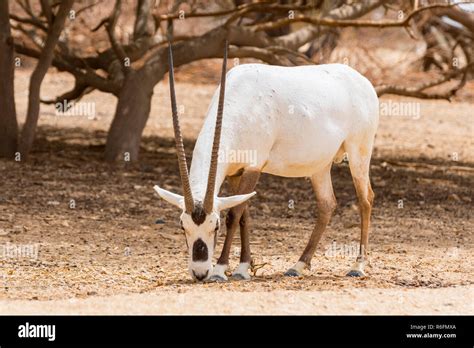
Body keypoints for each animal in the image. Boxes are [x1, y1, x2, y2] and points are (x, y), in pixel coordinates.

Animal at [155, 42, 378, 282]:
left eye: (215, 226)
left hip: (358, 153)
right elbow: (244, 215)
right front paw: (243, 267)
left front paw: (221, 270)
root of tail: (364, 82)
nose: (199, 272)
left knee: (365, 200)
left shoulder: (254, 167)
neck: (238, 101)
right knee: (327, 204)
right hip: (320, 166)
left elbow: (234, 215)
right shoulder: (236, 172)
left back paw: (358, 265)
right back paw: (298, 265)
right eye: (182, 226)